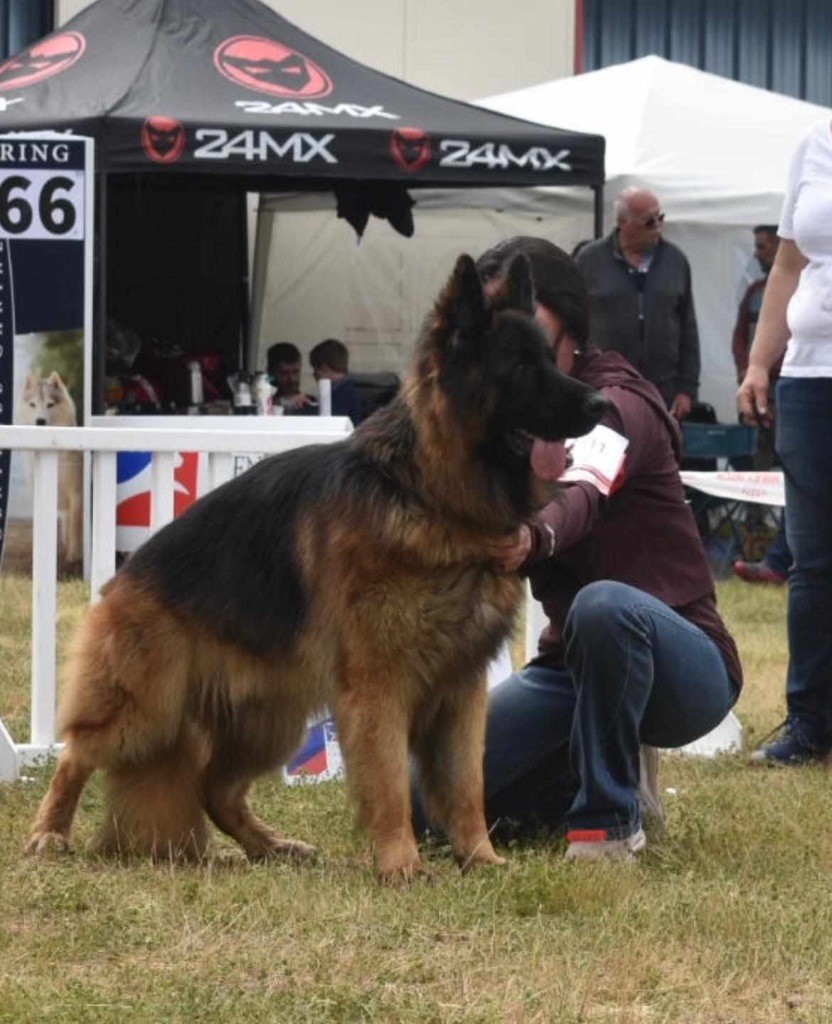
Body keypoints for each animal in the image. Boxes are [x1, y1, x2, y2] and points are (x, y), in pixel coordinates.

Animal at [26, 253, 606, 880]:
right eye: (519, 366)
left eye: (551, 358)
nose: (601, 405)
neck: (427, 494)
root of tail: (127, 573)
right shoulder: (378, 687)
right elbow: (391, 785)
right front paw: (402, 866)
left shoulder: (463, 690)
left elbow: (466, 787)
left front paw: (481, 858)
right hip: (147, 711)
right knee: (77, 754)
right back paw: (48, 833)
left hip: (268, 719)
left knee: (214, 790)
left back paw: (271, 847)